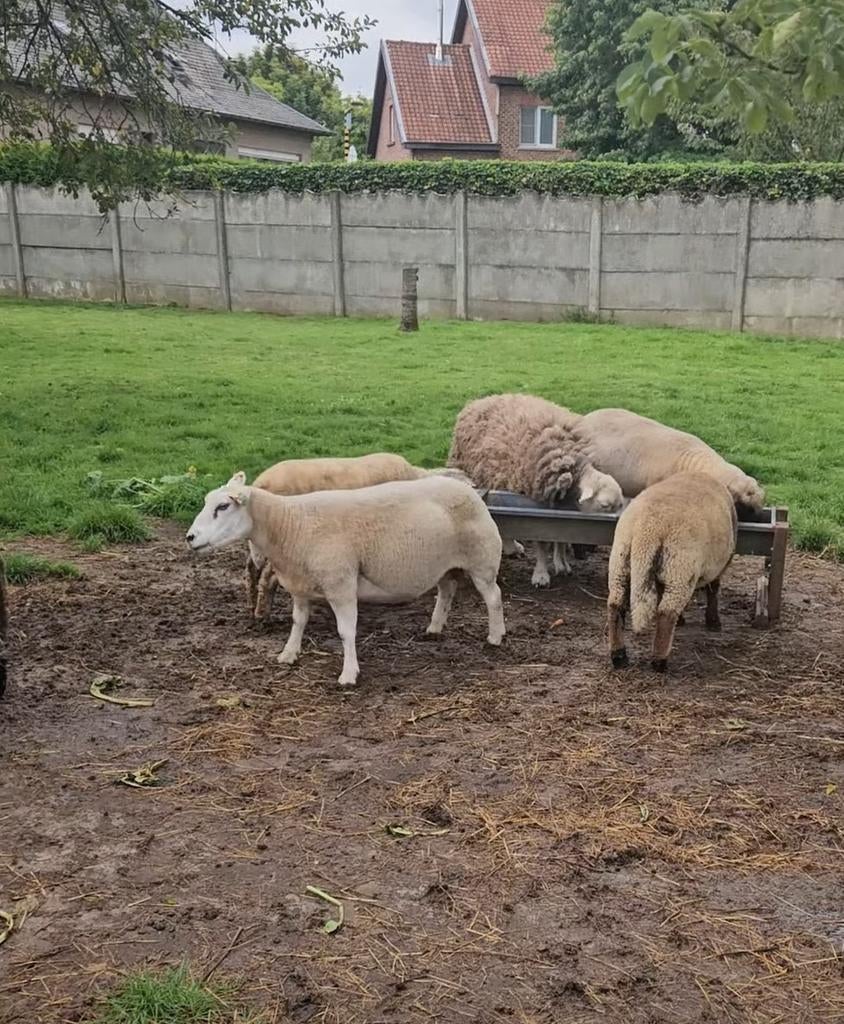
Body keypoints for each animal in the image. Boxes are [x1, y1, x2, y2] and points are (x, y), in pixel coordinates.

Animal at [187, 472, 505, 687]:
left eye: (223, 507)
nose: (189, 537)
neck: (289, 524)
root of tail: (470, 490)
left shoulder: (340, 585)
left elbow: (345, 631)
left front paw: (349, 673)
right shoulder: (300, 585)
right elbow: (298, 621)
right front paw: (289, 653)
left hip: (482, 560)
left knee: (494, 597)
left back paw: (495, 636)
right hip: (443, 564)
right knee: (447, 589)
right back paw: (435, 628)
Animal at [448, 393, 624, 586]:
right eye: (605, 505)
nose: (591, 550)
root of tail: (482, 399)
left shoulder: (559, 502)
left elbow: (561, 539)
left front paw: (561, 564)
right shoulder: (537, 502)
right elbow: (542, 543)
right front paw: (541, 575)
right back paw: (512, 547)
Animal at [606, 473, 737, 673]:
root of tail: (647, 530)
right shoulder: (718, 567)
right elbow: (713, 590)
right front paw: (713, 622)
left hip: (620, 562)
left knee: (616, 605)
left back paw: (619, 656)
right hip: (680, 568)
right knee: (666, 613)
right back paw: (659, 661)